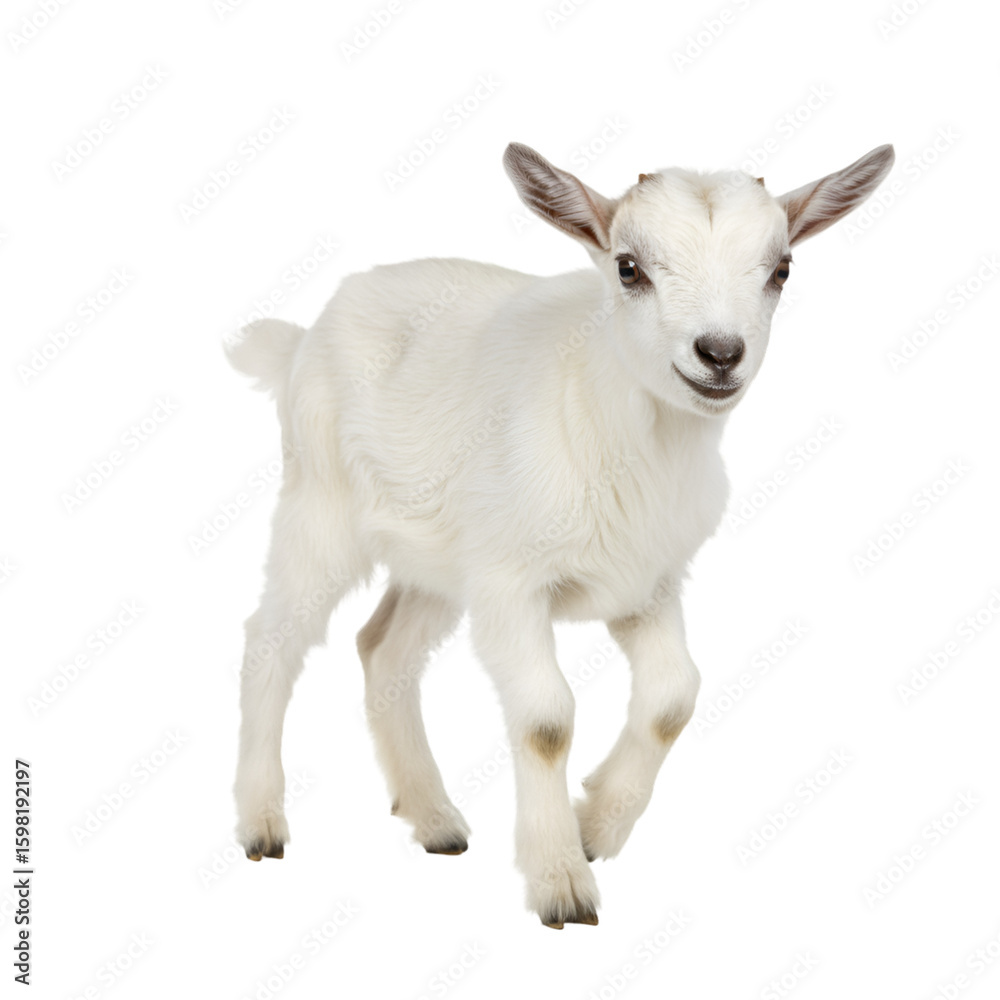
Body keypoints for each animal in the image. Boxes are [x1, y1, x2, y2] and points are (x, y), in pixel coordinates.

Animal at [229, 140, 894, 928]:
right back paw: (261, 822)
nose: (719, 352)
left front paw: (597, 827)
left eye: (781, 268)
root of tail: (304, 338)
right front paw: (560, 881)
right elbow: (547, 720)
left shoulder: (647, 582)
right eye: (629, 267)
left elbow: (675, 698)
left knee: (383, 649)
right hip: (321, 507)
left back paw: (433, 819)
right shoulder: (511, 587)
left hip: (440, 559)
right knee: (272, 639)